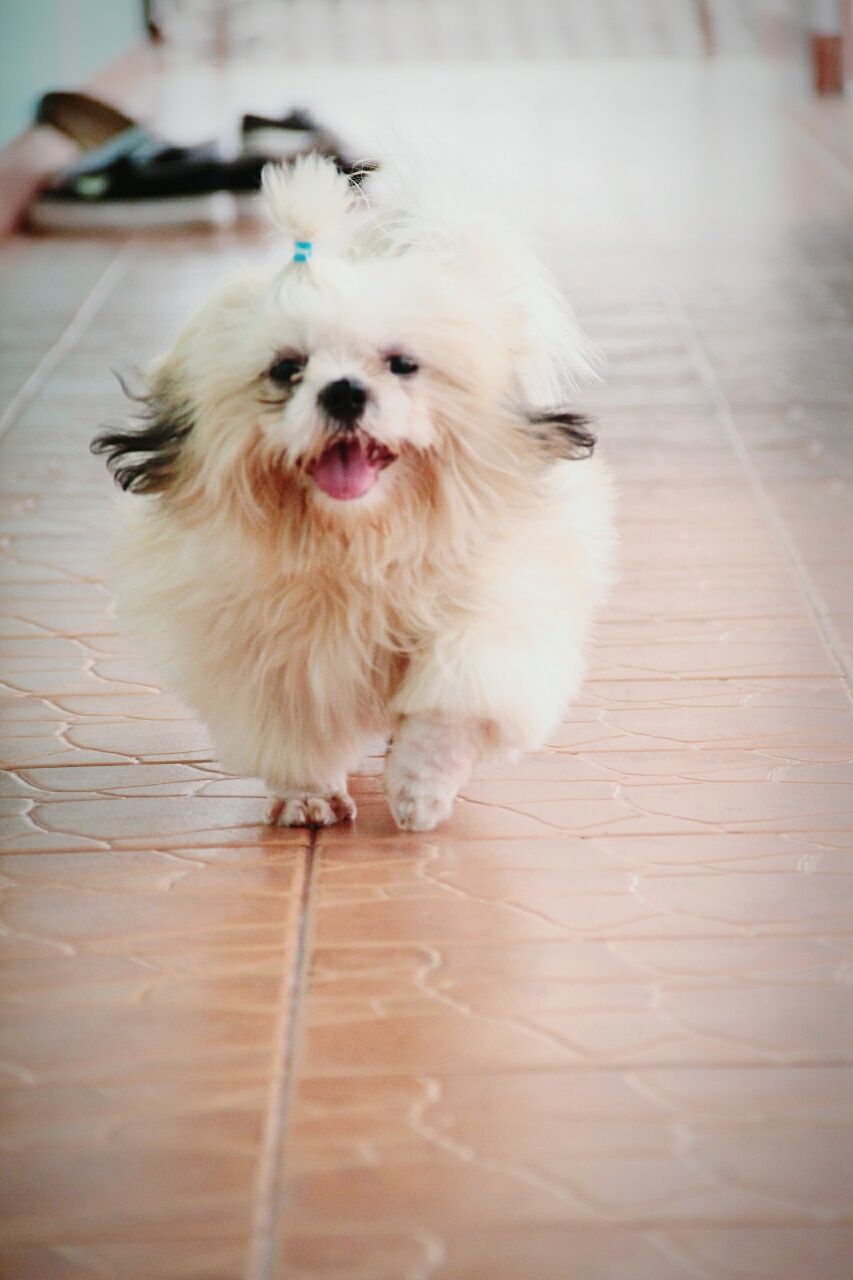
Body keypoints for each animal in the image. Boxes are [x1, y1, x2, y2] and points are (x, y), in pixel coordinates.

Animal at [92, 154, 612, 829]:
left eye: (401, 364)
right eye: (287, 369)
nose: (343, 392)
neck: (354, 543)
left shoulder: (488, 619)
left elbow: (446, 711)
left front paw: (418, 791)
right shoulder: (269, 659)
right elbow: (295, 733)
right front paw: (308, 796)